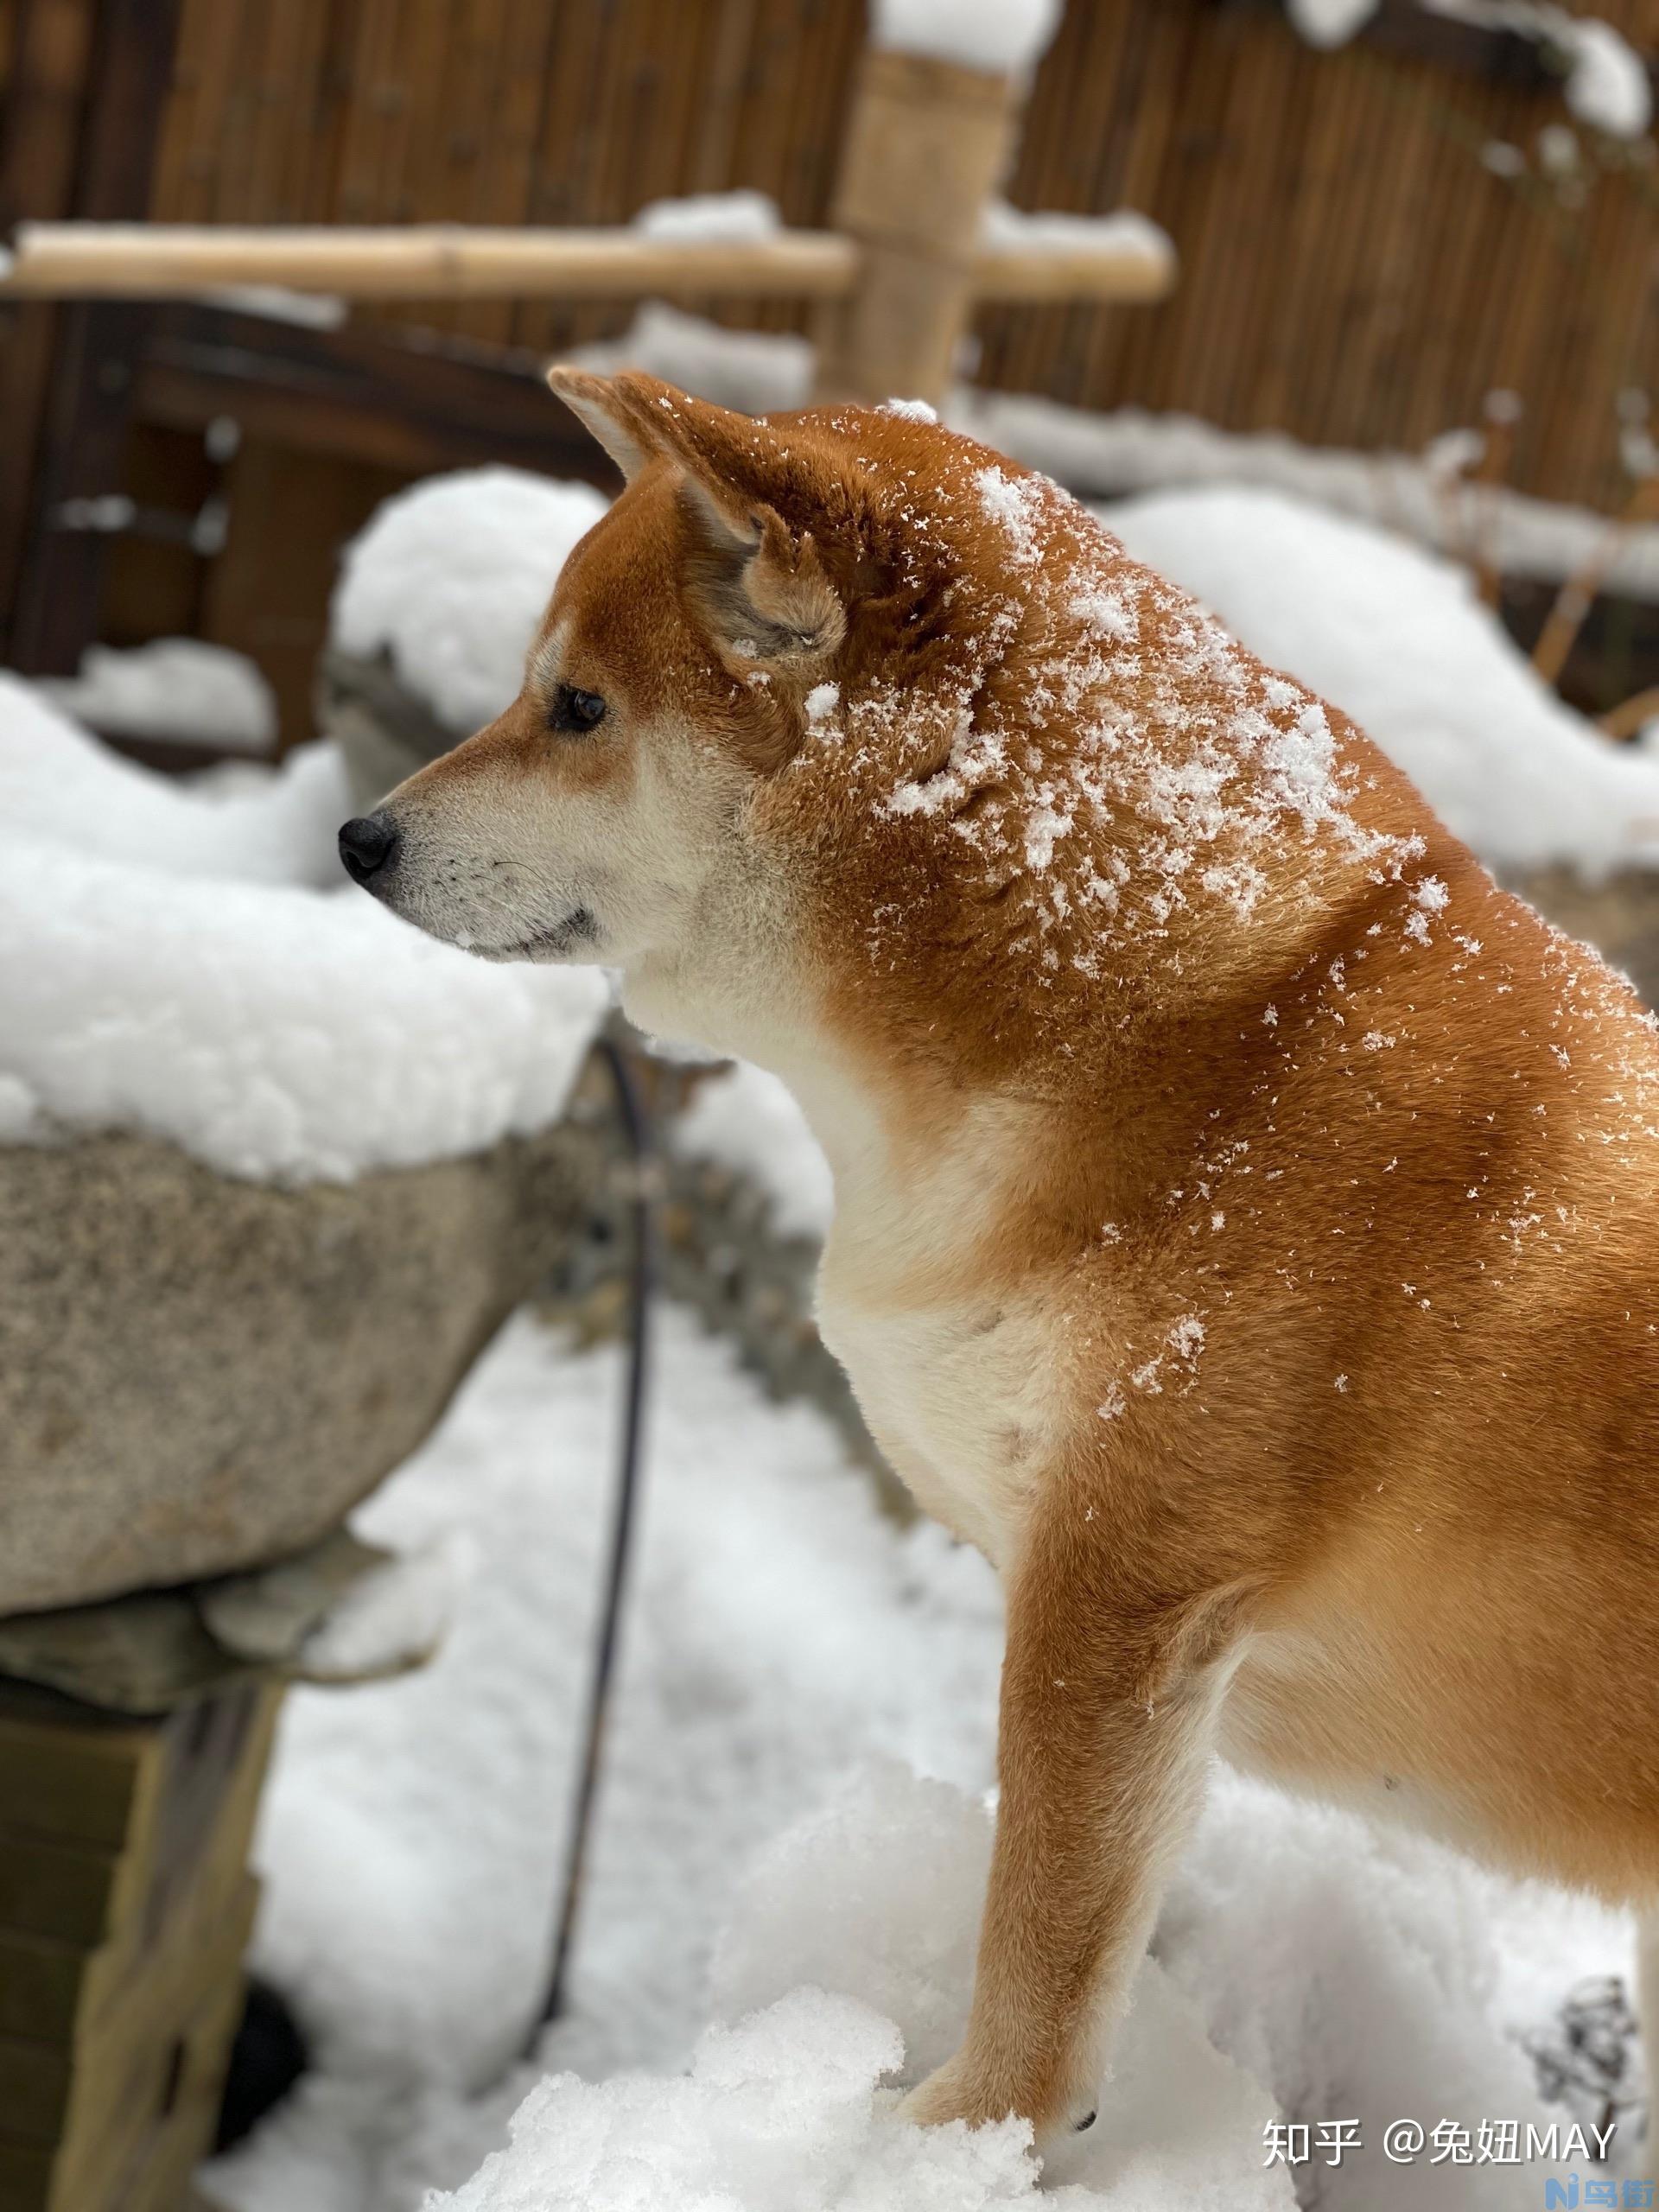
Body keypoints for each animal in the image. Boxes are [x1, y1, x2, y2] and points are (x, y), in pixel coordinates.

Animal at [345, 372, 1659, 2150]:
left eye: (577, 708)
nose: (357, 837)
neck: (1206, 1045)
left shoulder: (1119, 1593)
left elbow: (1040, 1946)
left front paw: (950, 2144)